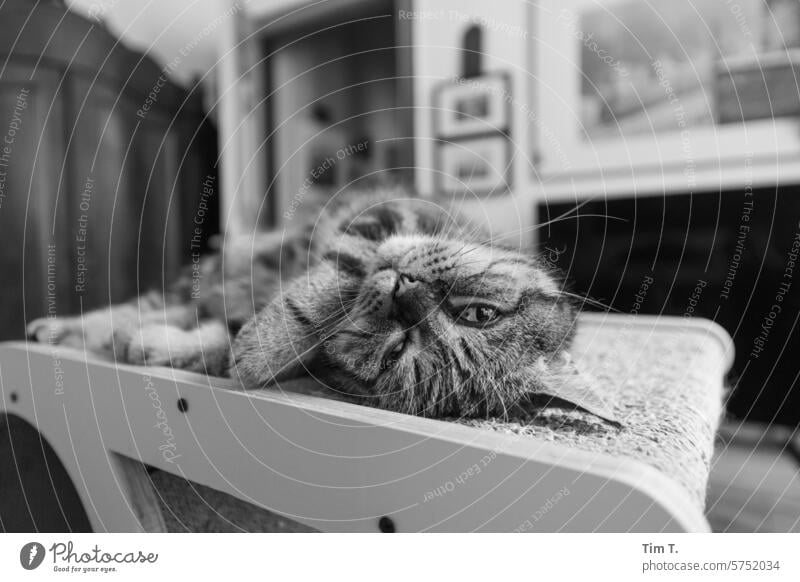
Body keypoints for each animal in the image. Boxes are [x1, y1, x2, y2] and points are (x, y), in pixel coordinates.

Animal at [23, 187, 612, 424]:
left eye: (396, 350)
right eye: (479, 313)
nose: (405, 290)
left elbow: (217, 348)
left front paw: (195, 349)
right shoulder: (378, 214)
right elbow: (331, 282)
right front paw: (266, 345)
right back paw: (56, 327)